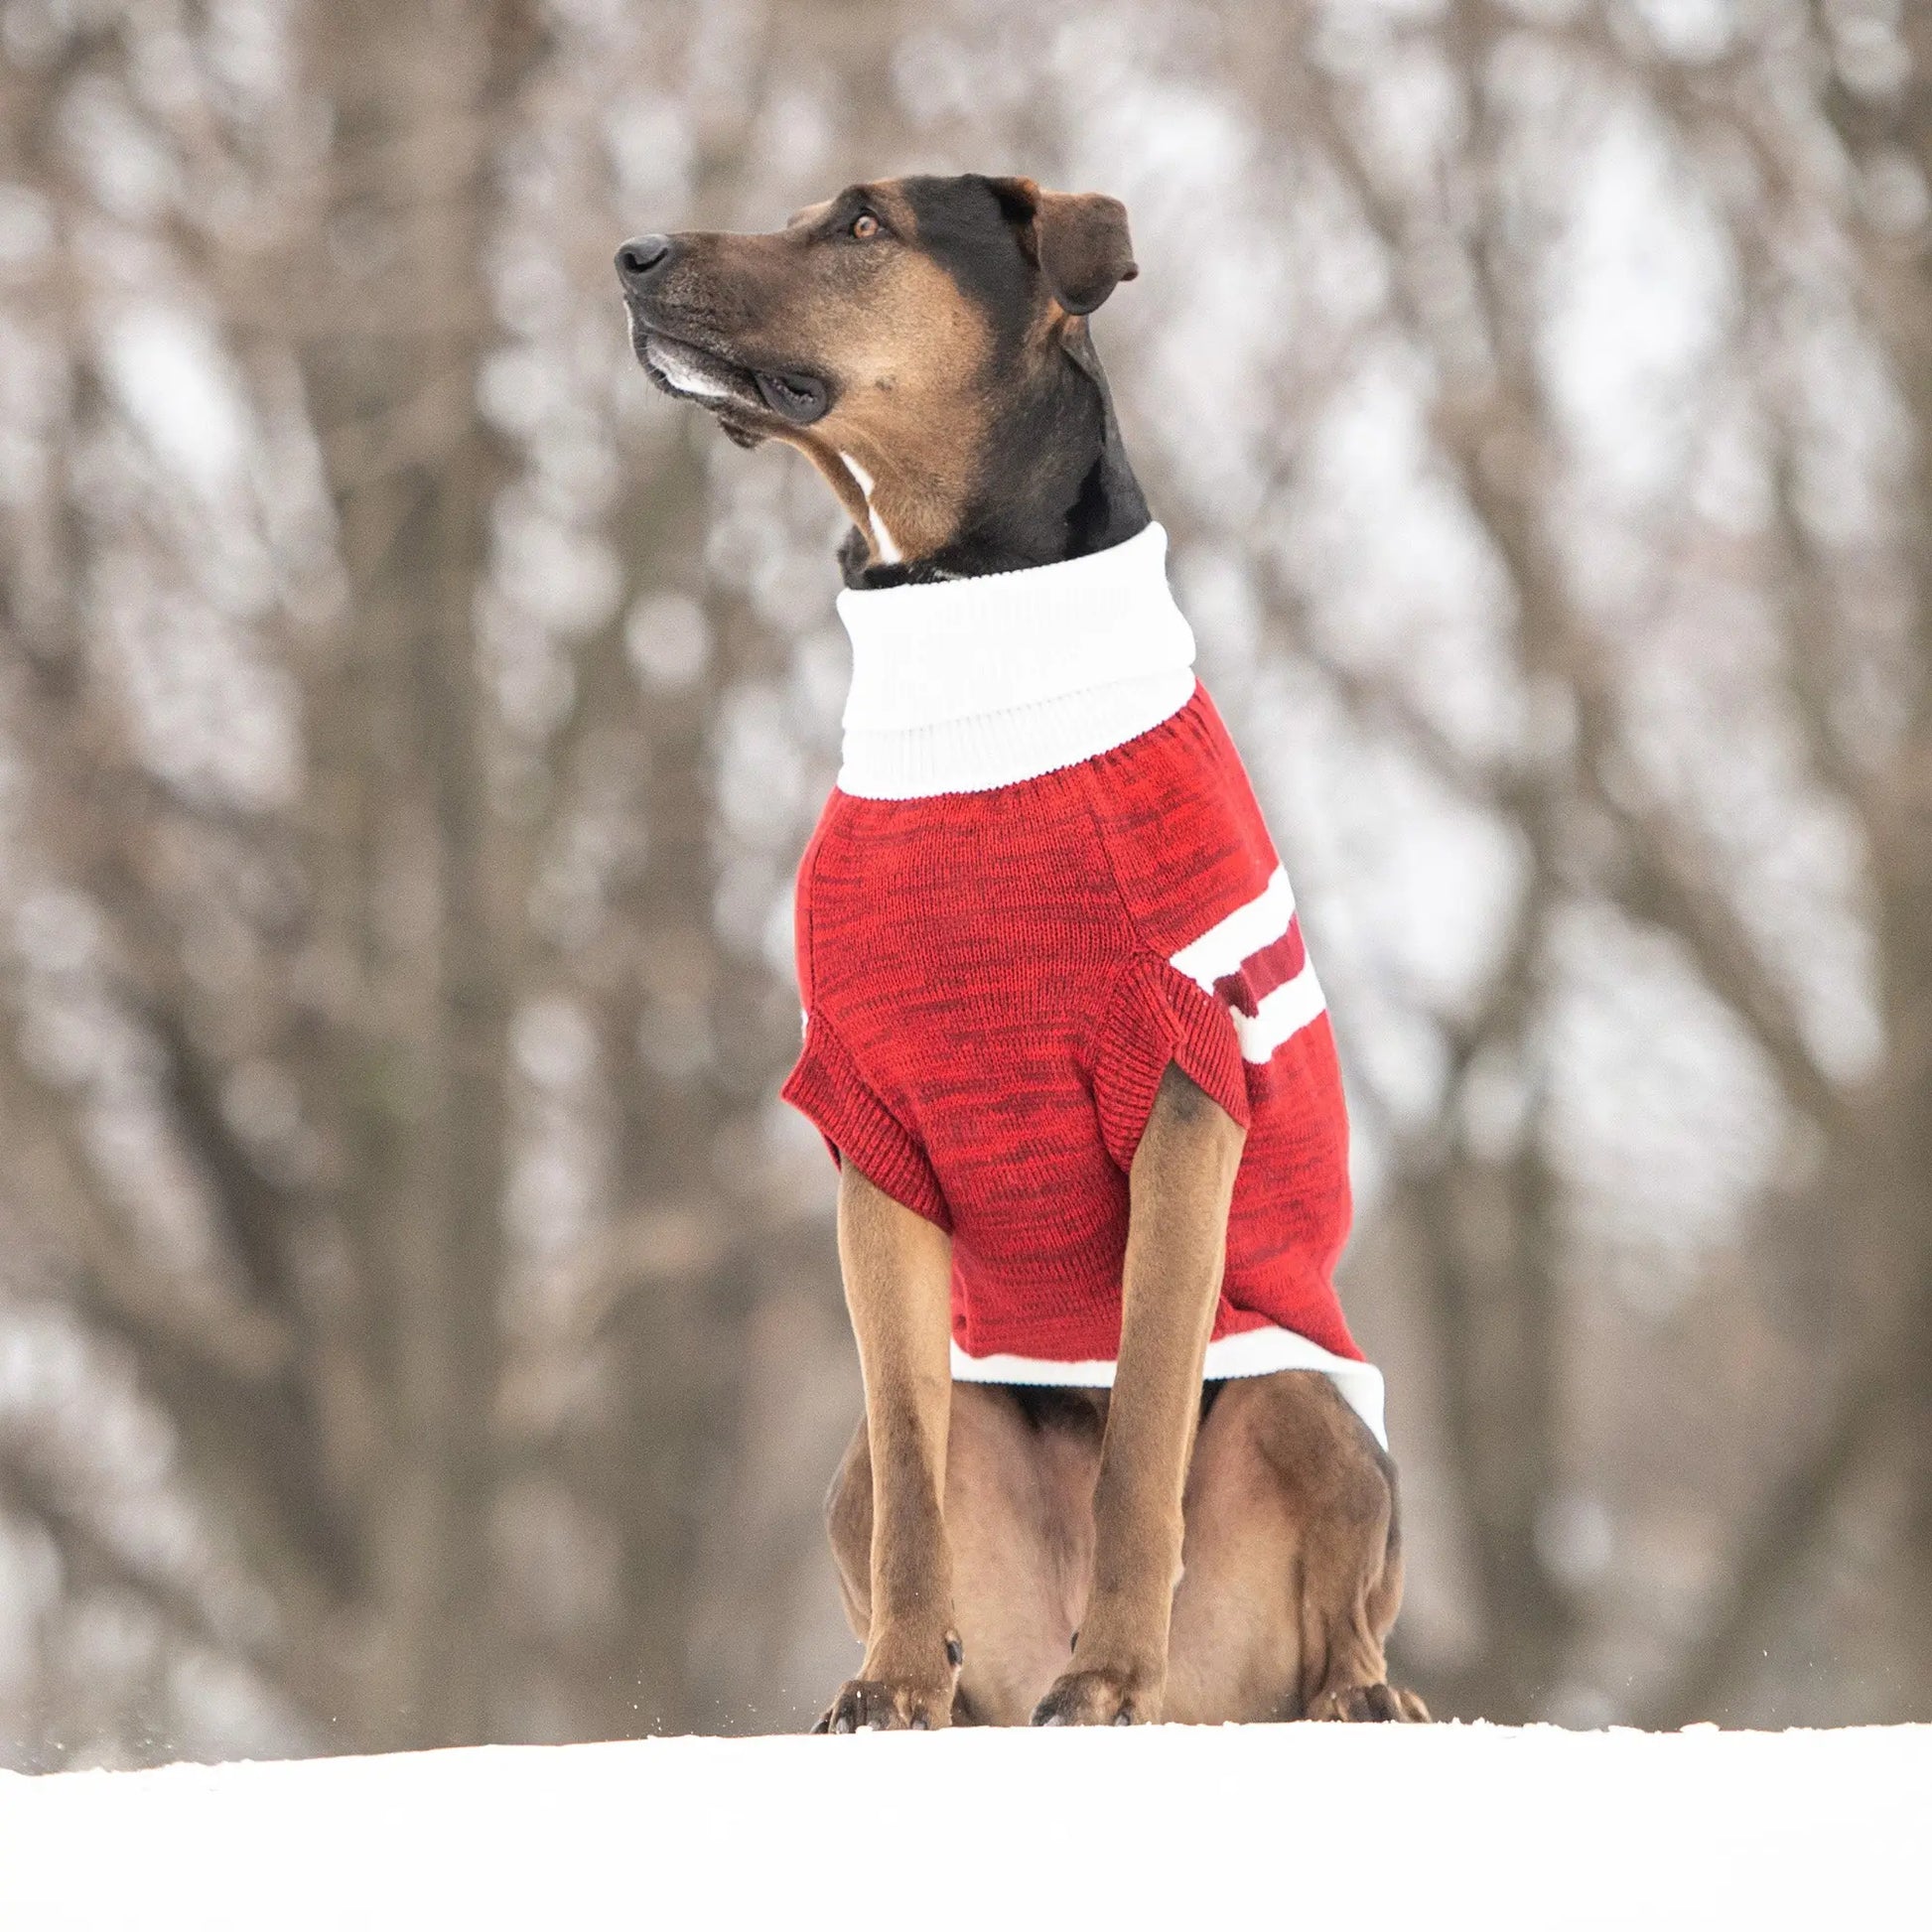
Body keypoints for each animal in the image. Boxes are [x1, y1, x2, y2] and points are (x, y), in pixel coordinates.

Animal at [614, 174, 1422, 1730]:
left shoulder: (1180, 1090)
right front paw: (889, 1680)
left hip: (1308, 1396)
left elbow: (1144, 1433)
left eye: (863, 225)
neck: (961, 616)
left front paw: (1105, 1669)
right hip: (872, 1461)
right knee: (893, 1476)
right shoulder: (872, 1120)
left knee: (1345, 1607)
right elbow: (911, 1467)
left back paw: (1341, 1692)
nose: (631, 254)